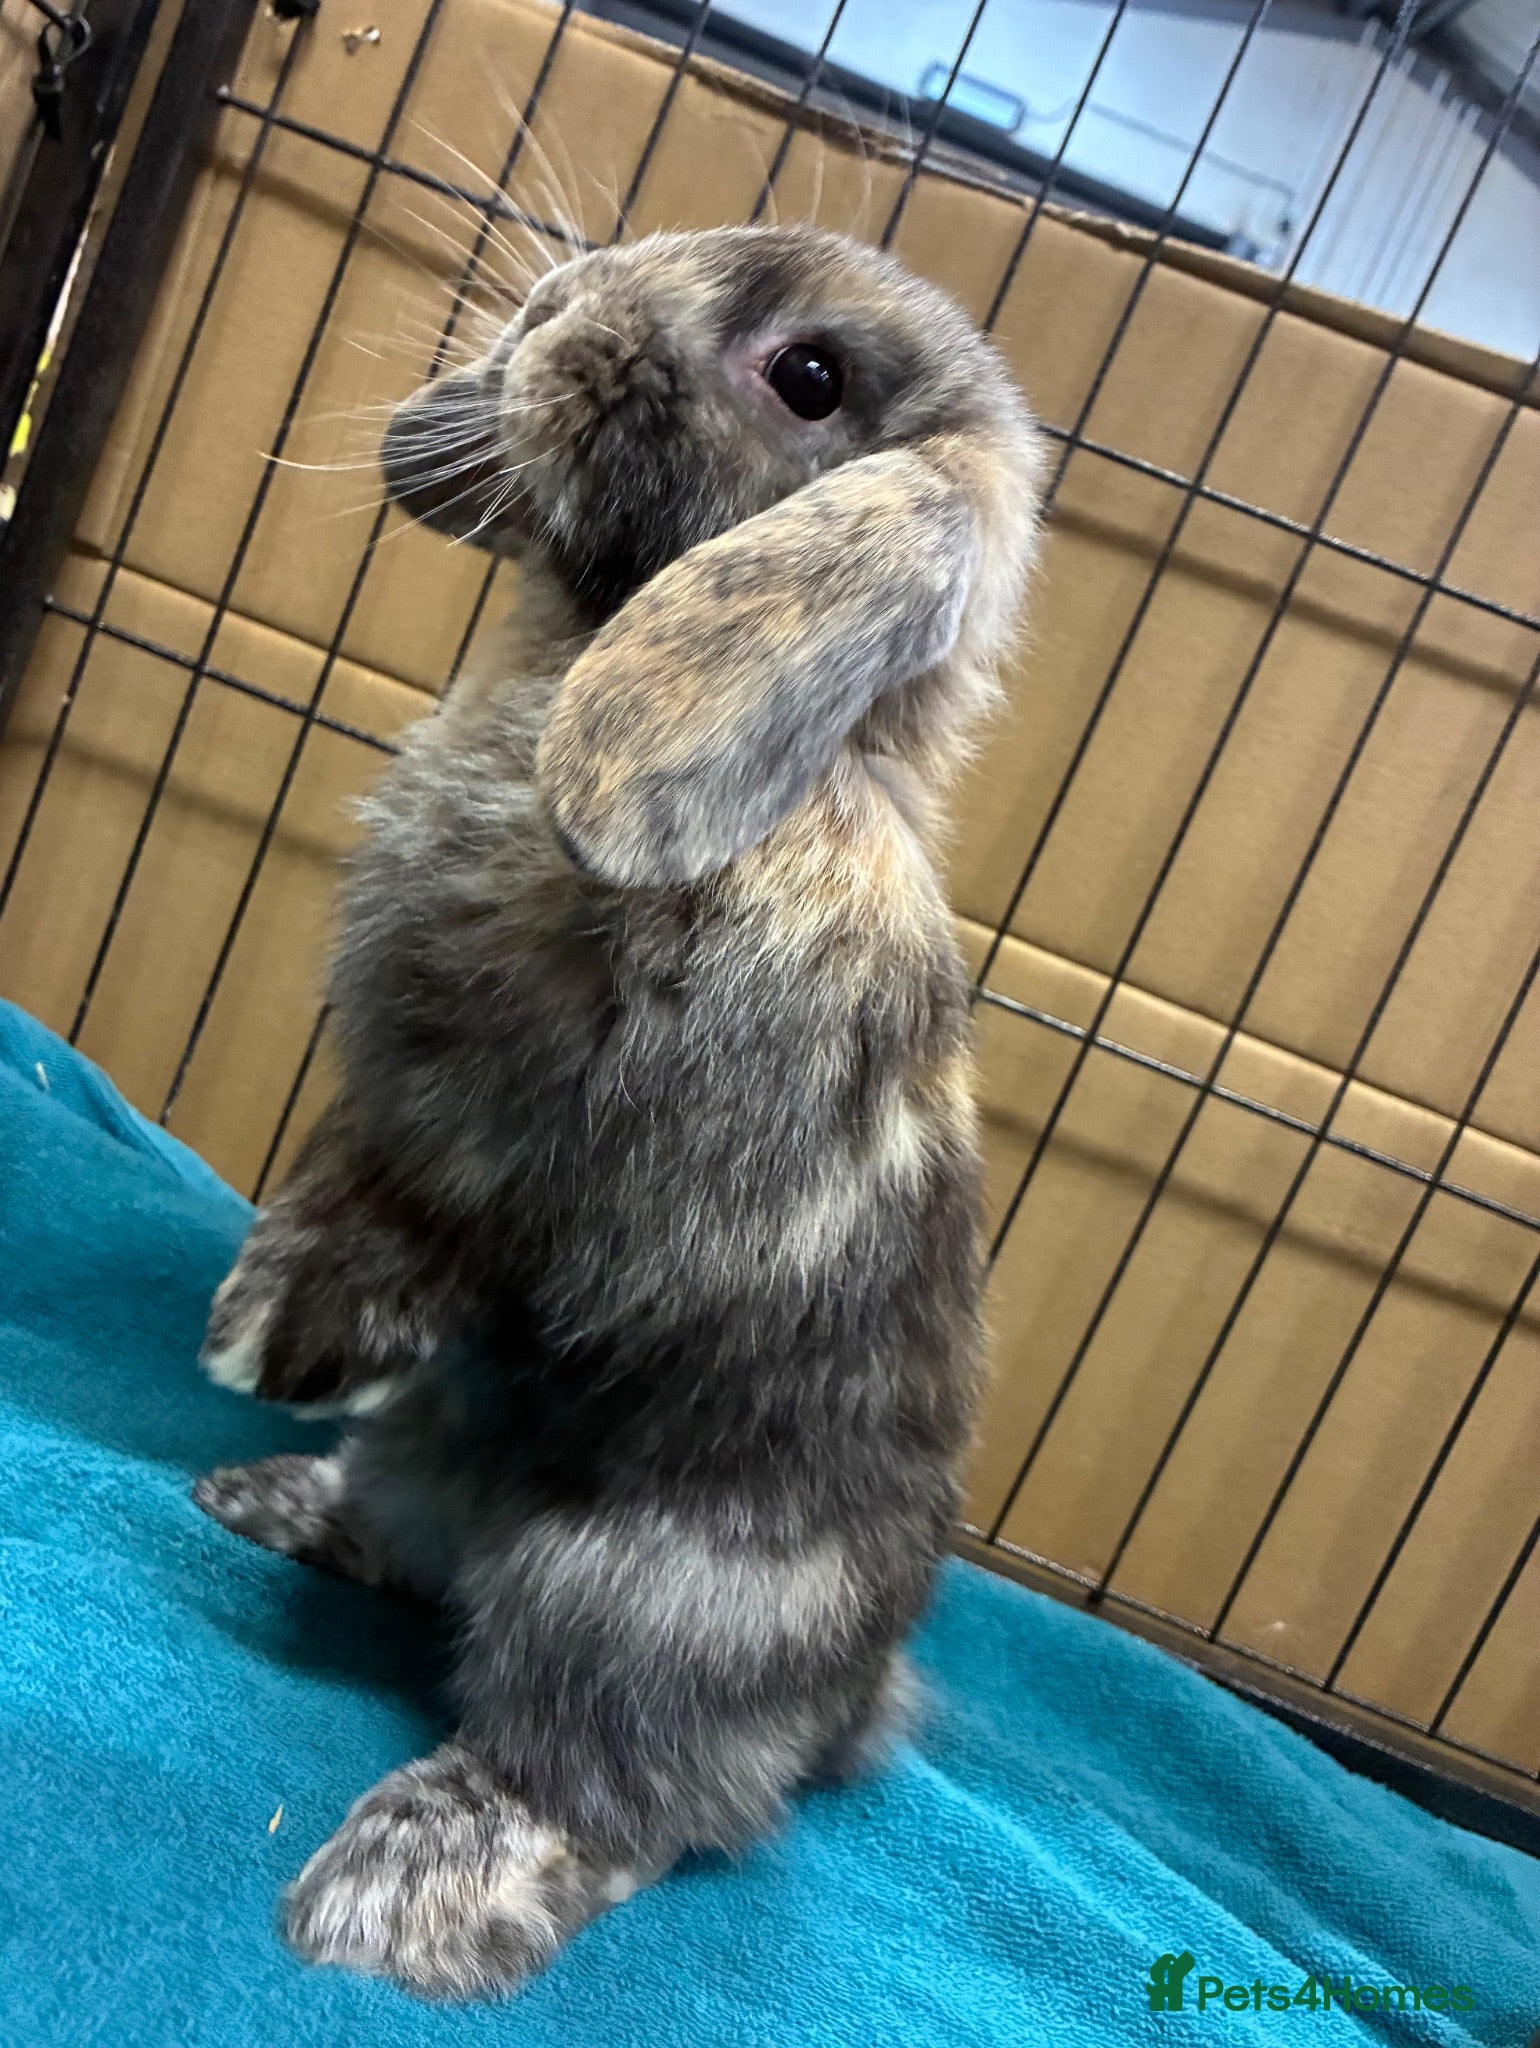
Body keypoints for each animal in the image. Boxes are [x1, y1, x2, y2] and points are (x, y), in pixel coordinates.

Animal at [192, 223, 1045, 2000]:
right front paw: (260, 1339)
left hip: (621, 1604)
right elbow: (346, 1167)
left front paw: (276, 1341)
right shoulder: (389, 1103)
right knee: (410, 1549)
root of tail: (838, 1712)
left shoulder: (533, 1140)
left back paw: (401, 1900)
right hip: (435, 1467)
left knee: (609, 1789)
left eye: (811, 375)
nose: (550, 302)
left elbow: (434, 1215)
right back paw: (271, 1499)